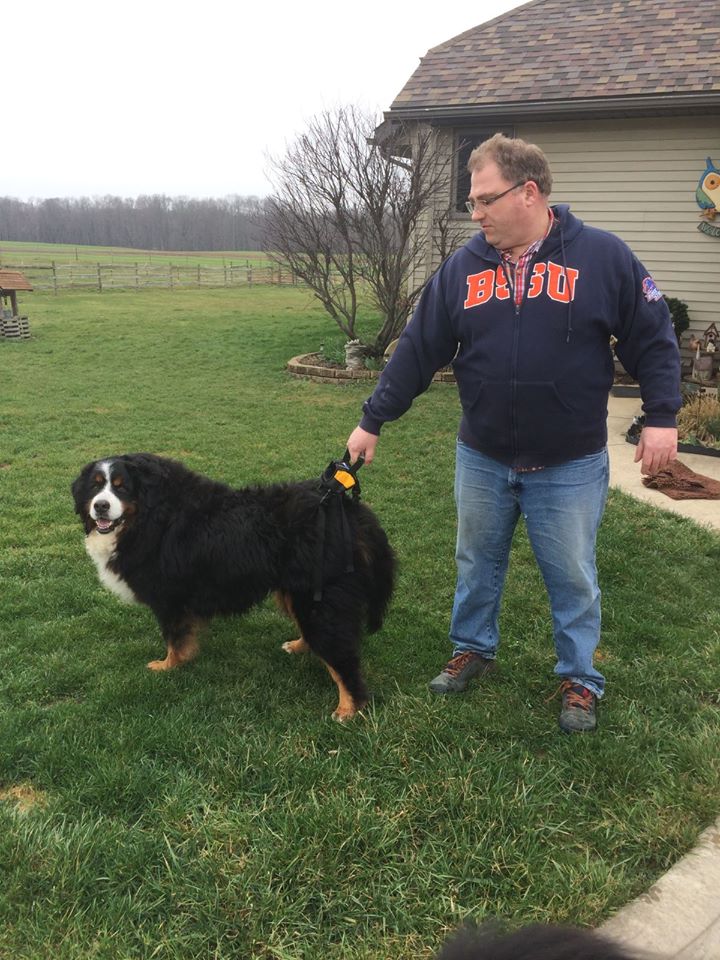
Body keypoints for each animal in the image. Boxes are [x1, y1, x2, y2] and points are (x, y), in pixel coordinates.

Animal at [71, 454, 394, 716]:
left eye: (122, 487)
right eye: (95, 487)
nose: (101, 506)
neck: (151, 517)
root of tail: (351, 510)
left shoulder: (170, 599)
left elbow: (174, 639)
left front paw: (168, 666)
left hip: (318, 597)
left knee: (341, 657)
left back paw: (349, 708)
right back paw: (299, 646)